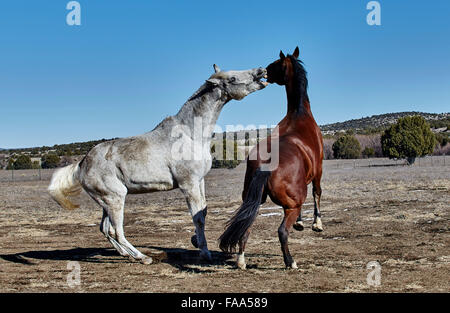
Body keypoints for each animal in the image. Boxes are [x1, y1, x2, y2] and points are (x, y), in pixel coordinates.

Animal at [48, 64, 268, 264]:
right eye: (232, 78)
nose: (261, 71)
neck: (191, 134)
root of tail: (82, 163)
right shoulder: (188, 184)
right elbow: (197, 217)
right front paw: (205, 253)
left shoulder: (200, 181)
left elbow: (203, 212)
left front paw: (197, 242)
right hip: (115, 198)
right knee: (117, 230)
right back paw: (142, 257)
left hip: (106, 201)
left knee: (105, 229)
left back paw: (126, 254)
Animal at [219, 46, 322, 268]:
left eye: (275, 64)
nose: (264, 71)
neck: (299, 114)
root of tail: (265, 165)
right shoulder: (319, 169)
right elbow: (317, 193)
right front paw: (317, 224)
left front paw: (301, 223)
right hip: (291, 205)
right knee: (282, 231)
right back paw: (290, 262)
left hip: (253, 201)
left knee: (245, 228)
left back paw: (241, 261)